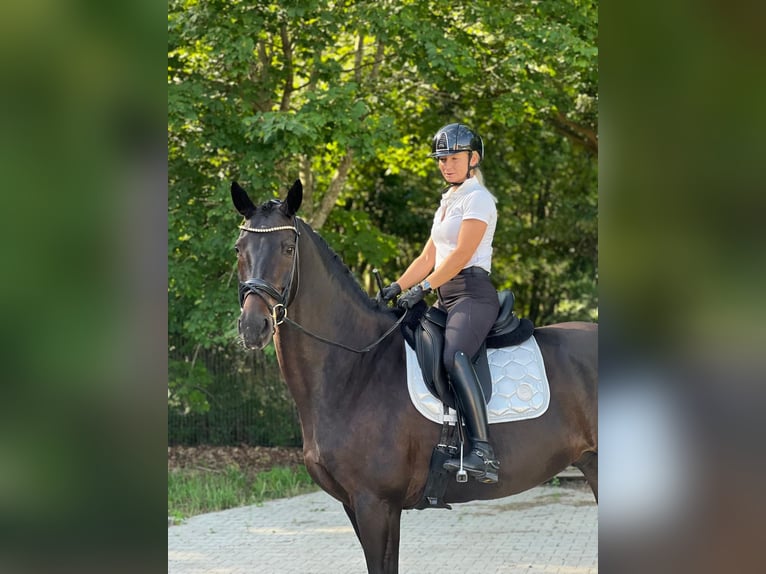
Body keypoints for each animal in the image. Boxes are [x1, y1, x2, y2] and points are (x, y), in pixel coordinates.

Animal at [231, 179, 597, 574]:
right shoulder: (355, 505)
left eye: (287, 248)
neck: (357, 369)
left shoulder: (375, 504)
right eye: (239, 249)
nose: (253, 326)